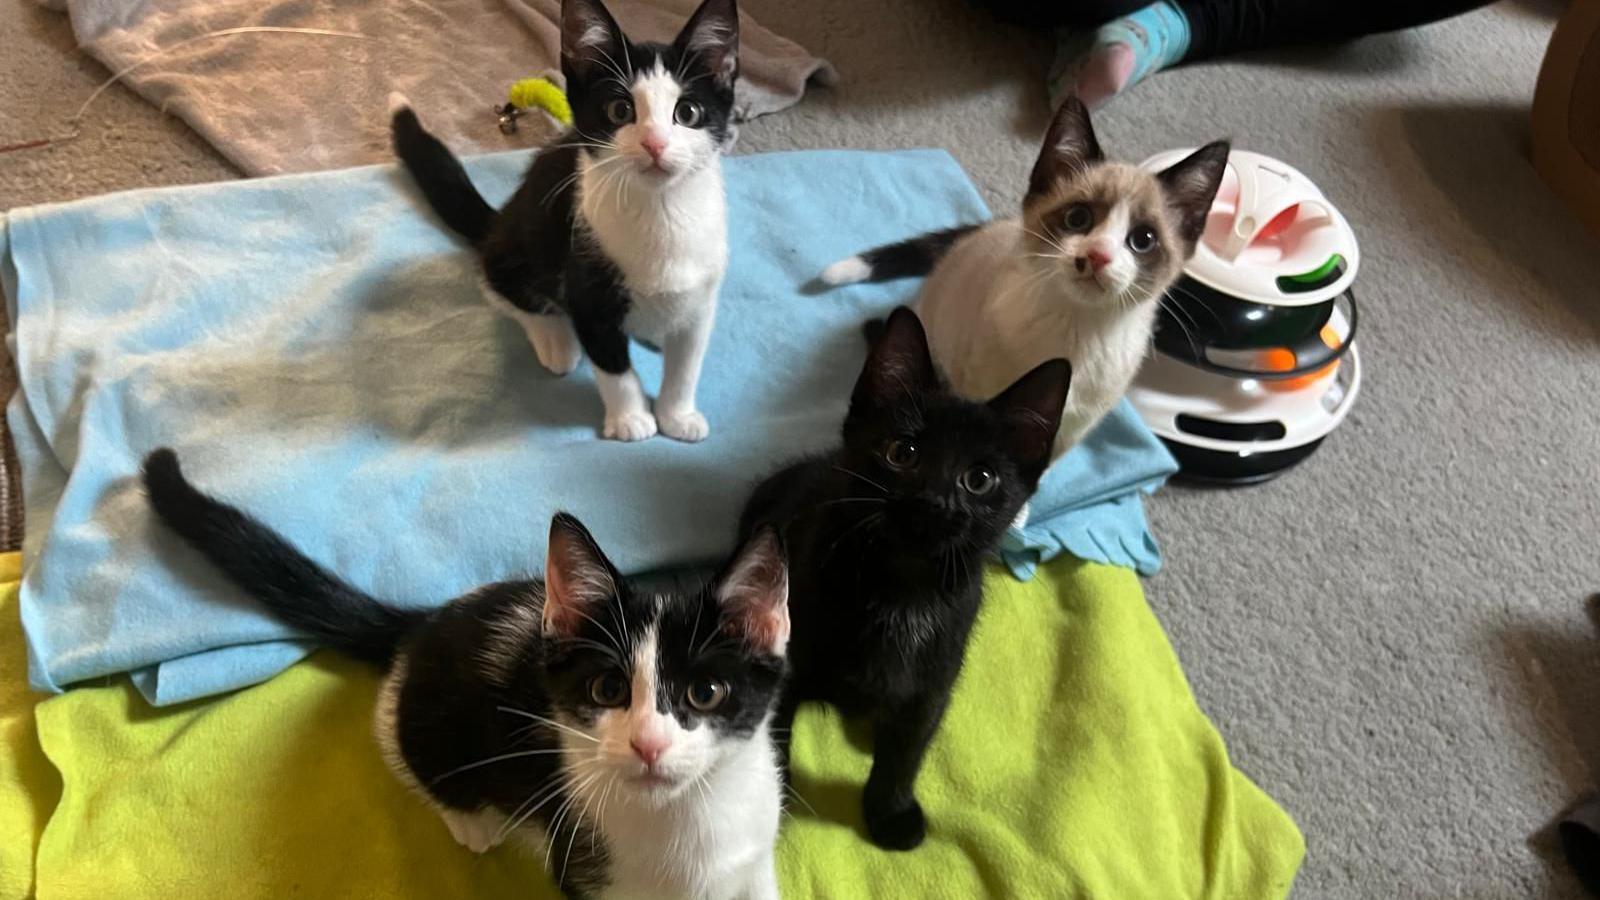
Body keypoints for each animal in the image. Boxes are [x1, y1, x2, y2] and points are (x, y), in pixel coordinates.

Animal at [142, 445, 787, 896]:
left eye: (706, 692)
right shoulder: (581, 864)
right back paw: (472, 821)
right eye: (608, 689)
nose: (649, 745)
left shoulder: (754, 856)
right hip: (426, 725)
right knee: (400, 745)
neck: (688, 821)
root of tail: (428, 618)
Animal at [390, 0, 739, 441]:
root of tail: (499, 223)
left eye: (688, 112)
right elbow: (613, 367)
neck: (662, 211)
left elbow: (687, 364)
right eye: (620, 110)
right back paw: (556, 341)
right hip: (518, 247)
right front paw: (631, 419)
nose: (655, 144)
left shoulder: (702, 297)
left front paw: (678, 415)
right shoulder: (587, 292)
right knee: (503, 291)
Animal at [739, 307, 1075, 845]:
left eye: (980, 479)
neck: (901, 586)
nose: (932, 501)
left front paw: (891, 811)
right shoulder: (783, 668)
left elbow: (908, 749)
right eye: (903, 452)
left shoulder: (936, 678)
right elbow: (776, 732)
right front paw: (777, 802)